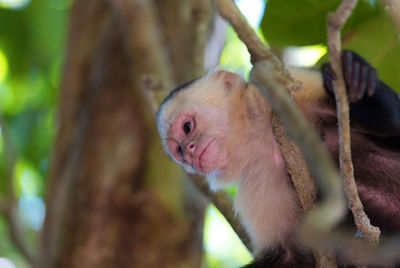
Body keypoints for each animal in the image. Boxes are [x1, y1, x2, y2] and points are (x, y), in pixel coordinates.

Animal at [155, 50, 400, 268]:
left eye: (187, 127)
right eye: (178, 151)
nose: (189, 154)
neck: (259, 134)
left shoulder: (293, 87)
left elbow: (394, 125)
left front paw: (354, 75)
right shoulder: (258, 177)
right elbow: (288, 256)